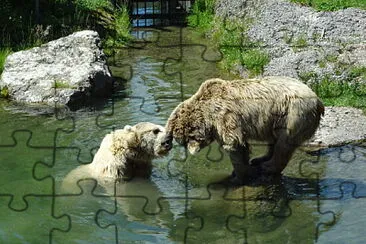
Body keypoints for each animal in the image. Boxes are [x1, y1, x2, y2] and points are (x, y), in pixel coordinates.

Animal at [166, 76, 324, 183]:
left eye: (181, 141)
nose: (189, 149)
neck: (206, 114)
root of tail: (318, 101)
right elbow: (241, 146)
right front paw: (243, 169)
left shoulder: (224, 116)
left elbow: (232, 143)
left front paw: (240, 175)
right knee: (274, 140)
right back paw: (260, 159)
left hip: (292, 114)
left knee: (284, 143)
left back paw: (268, 166)